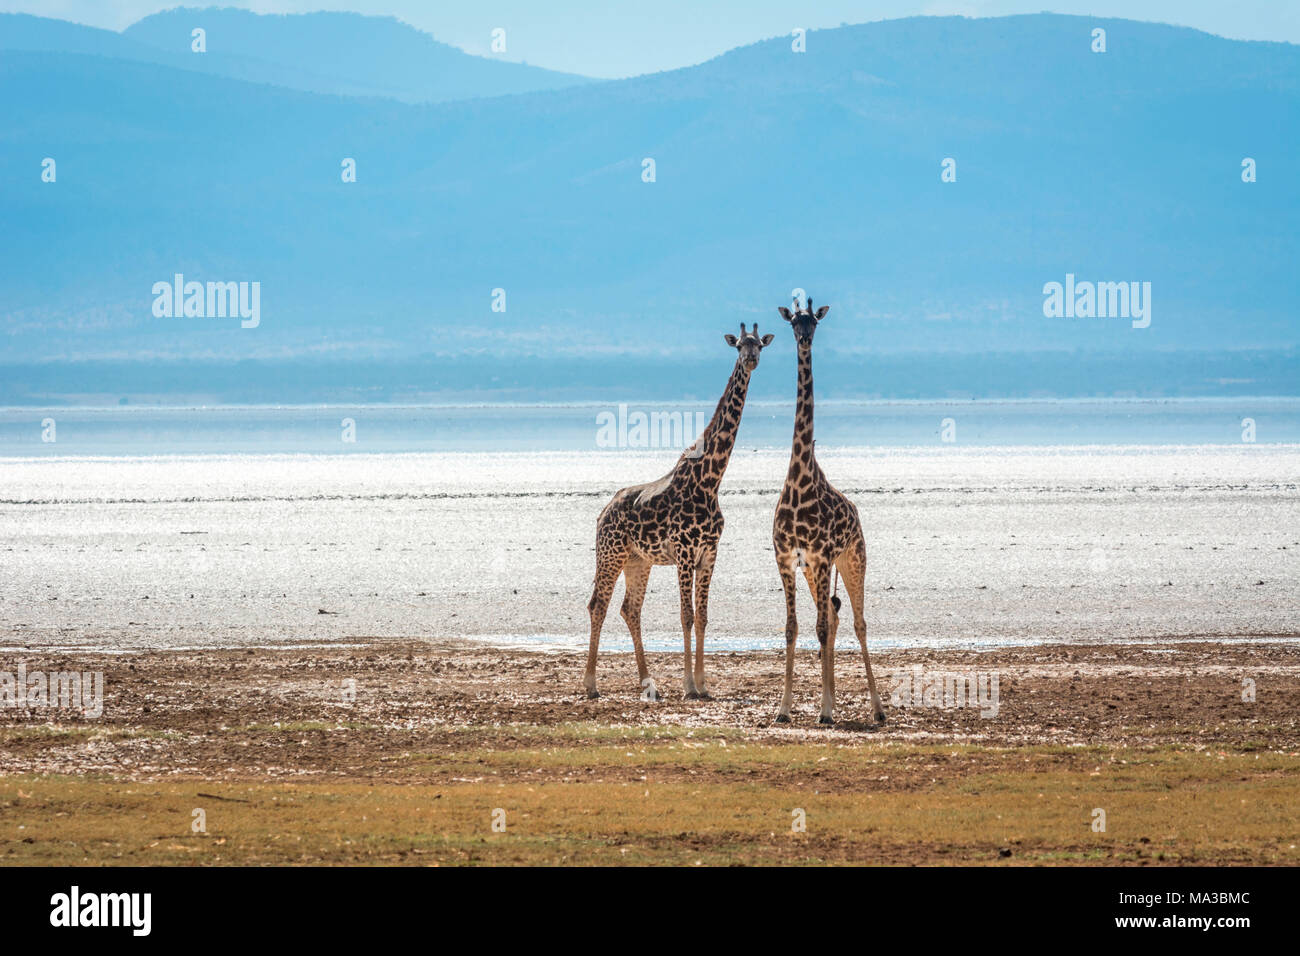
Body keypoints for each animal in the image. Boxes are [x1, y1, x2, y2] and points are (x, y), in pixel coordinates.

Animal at [587, 321, 774, 697]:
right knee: (598, 605)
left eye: (760, 344)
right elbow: (686, 616)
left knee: (630, 609)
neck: (710, 480)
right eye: (739, 345)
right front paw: (688, 685)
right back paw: (590, 685)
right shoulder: (685, 553)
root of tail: (603, 512)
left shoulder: (709, 553)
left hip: (638, 561)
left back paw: (648, 682)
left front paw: (702, 684)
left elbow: (702, 616)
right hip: (611, 554)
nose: (751, 359)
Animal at [769, 297, 883, 723]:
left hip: (853, 559)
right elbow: (792, 627)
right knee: (831, 617)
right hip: (816, 571)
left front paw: (825, 709)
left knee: (857, 621)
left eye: (814, 322)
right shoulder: (787, 558)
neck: (799, 481)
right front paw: (785, 708)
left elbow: (818, 628)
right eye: (793, 322)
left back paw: (876, 708)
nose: (804, 338)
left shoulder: (819, 558)